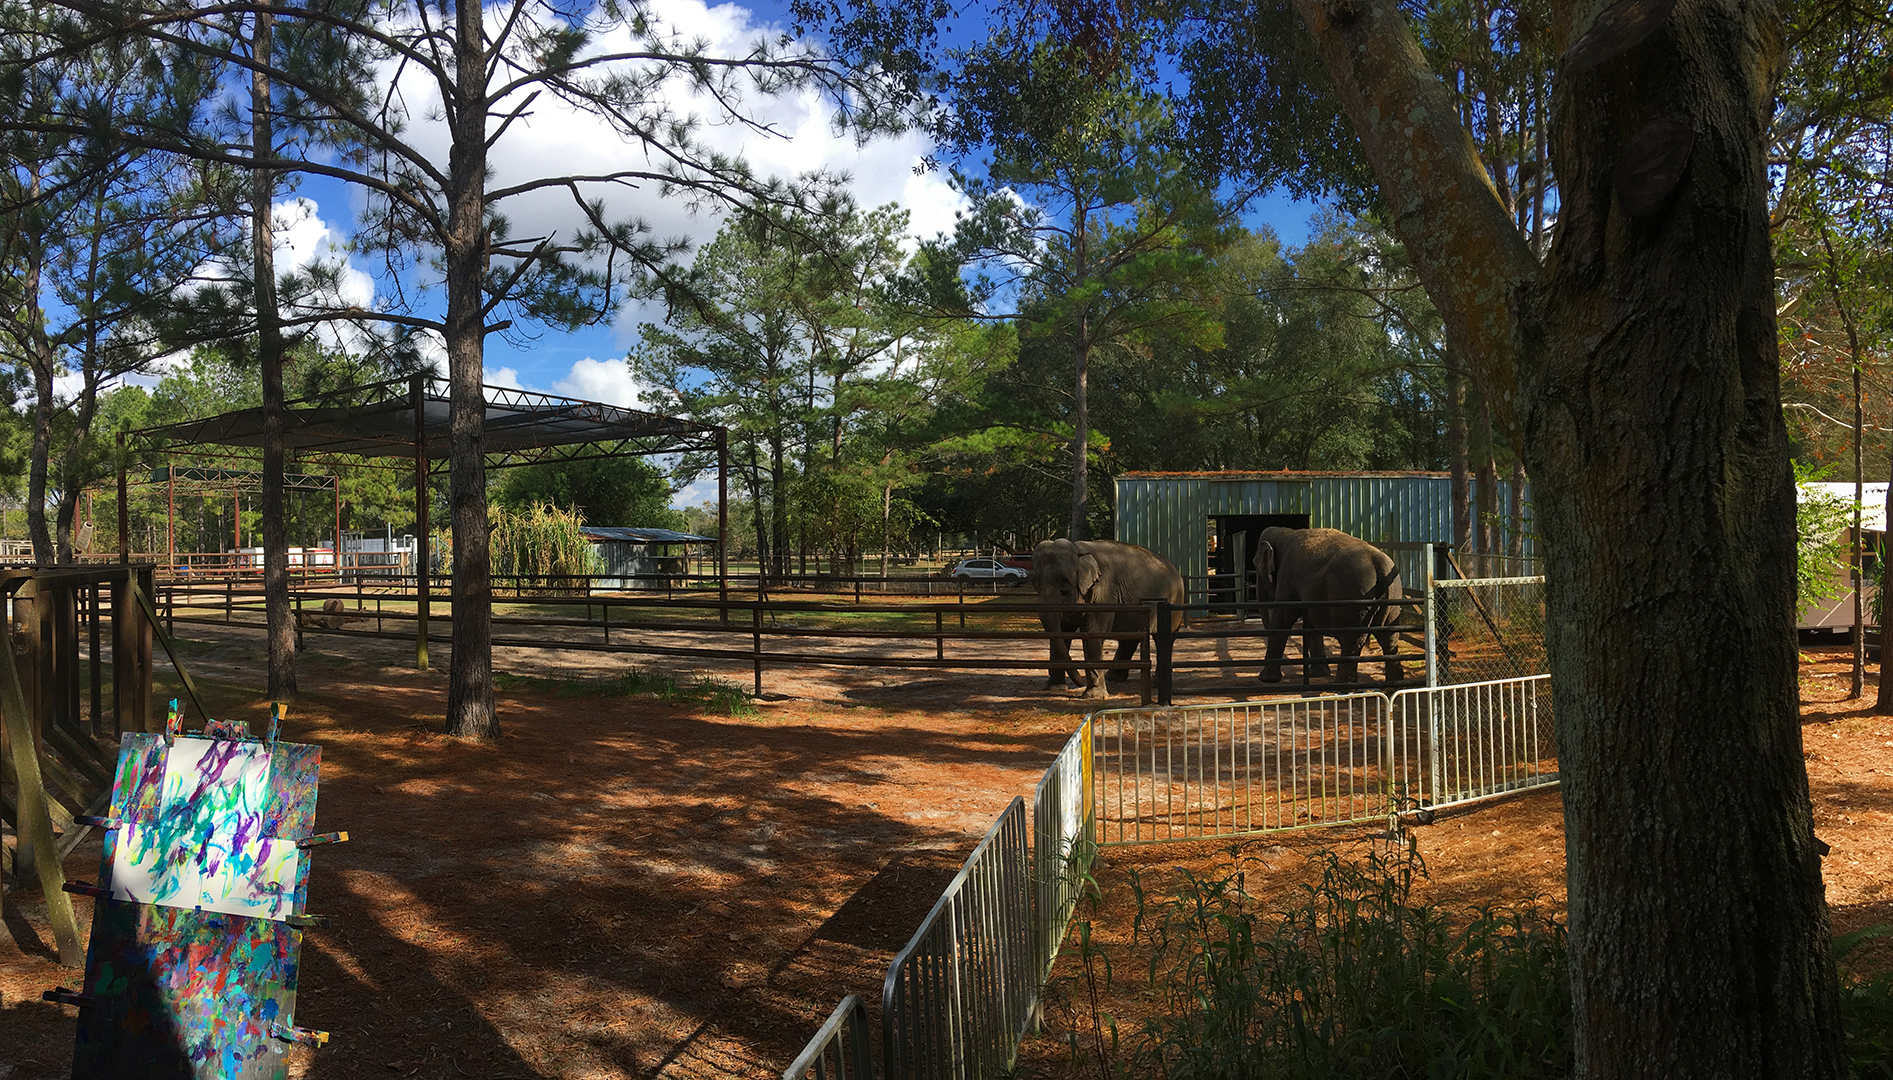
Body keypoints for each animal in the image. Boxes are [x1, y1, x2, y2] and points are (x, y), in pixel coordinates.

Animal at [1032, 538, 1186, 699]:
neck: (1078, 549)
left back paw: (1155, 683)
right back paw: (1114, 677)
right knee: (1130, 637)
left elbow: (1093, 633)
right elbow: (1060, 632)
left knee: (1162, 639)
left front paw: (1093, 696)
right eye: (1034, 582)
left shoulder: (1103, 592)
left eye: (1064, 582)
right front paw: (1054, 687)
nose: (1080, 683)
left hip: (1174, 602)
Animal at [1252, 527, 1404, 685]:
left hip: (1353, 597)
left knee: (1351, 640)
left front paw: (1266, 679)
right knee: (1389, 638)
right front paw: (1317, 673)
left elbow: (1284, 616)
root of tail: (1379, 563)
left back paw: (1342, 684)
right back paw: (1394, 682)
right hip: (1393, 597)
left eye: (1255, 564)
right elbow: (1310, 623)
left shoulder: (1287, 575)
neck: (1284, 533)